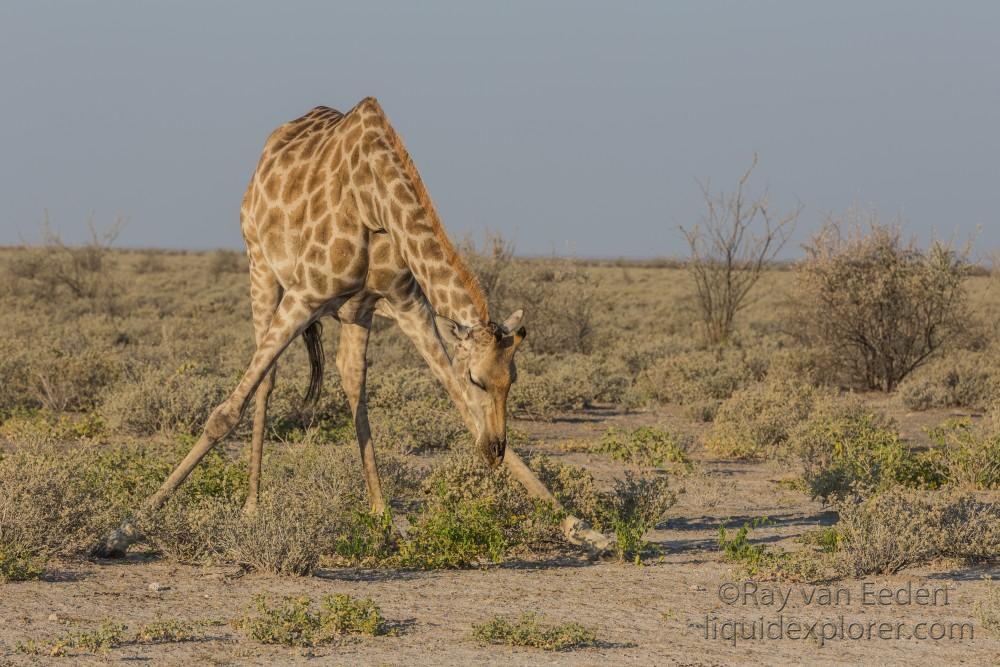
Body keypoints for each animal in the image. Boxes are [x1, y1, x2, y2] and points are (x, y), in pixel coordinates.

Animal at [105, 96, 612, 556]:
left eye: (514, 381)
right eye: (478, 378)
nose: (493, 451)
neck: (376, 203)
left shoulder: (406, 303)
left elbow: (455, 404)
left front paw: (583, 528)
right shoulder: (307, 293)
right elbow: (224, 412)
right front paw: (123, 530)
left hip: (354, 312)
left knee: (351, 379)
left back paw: (381, 515)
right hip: (261, 268)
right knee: (266, 382)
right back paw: (252, 507)